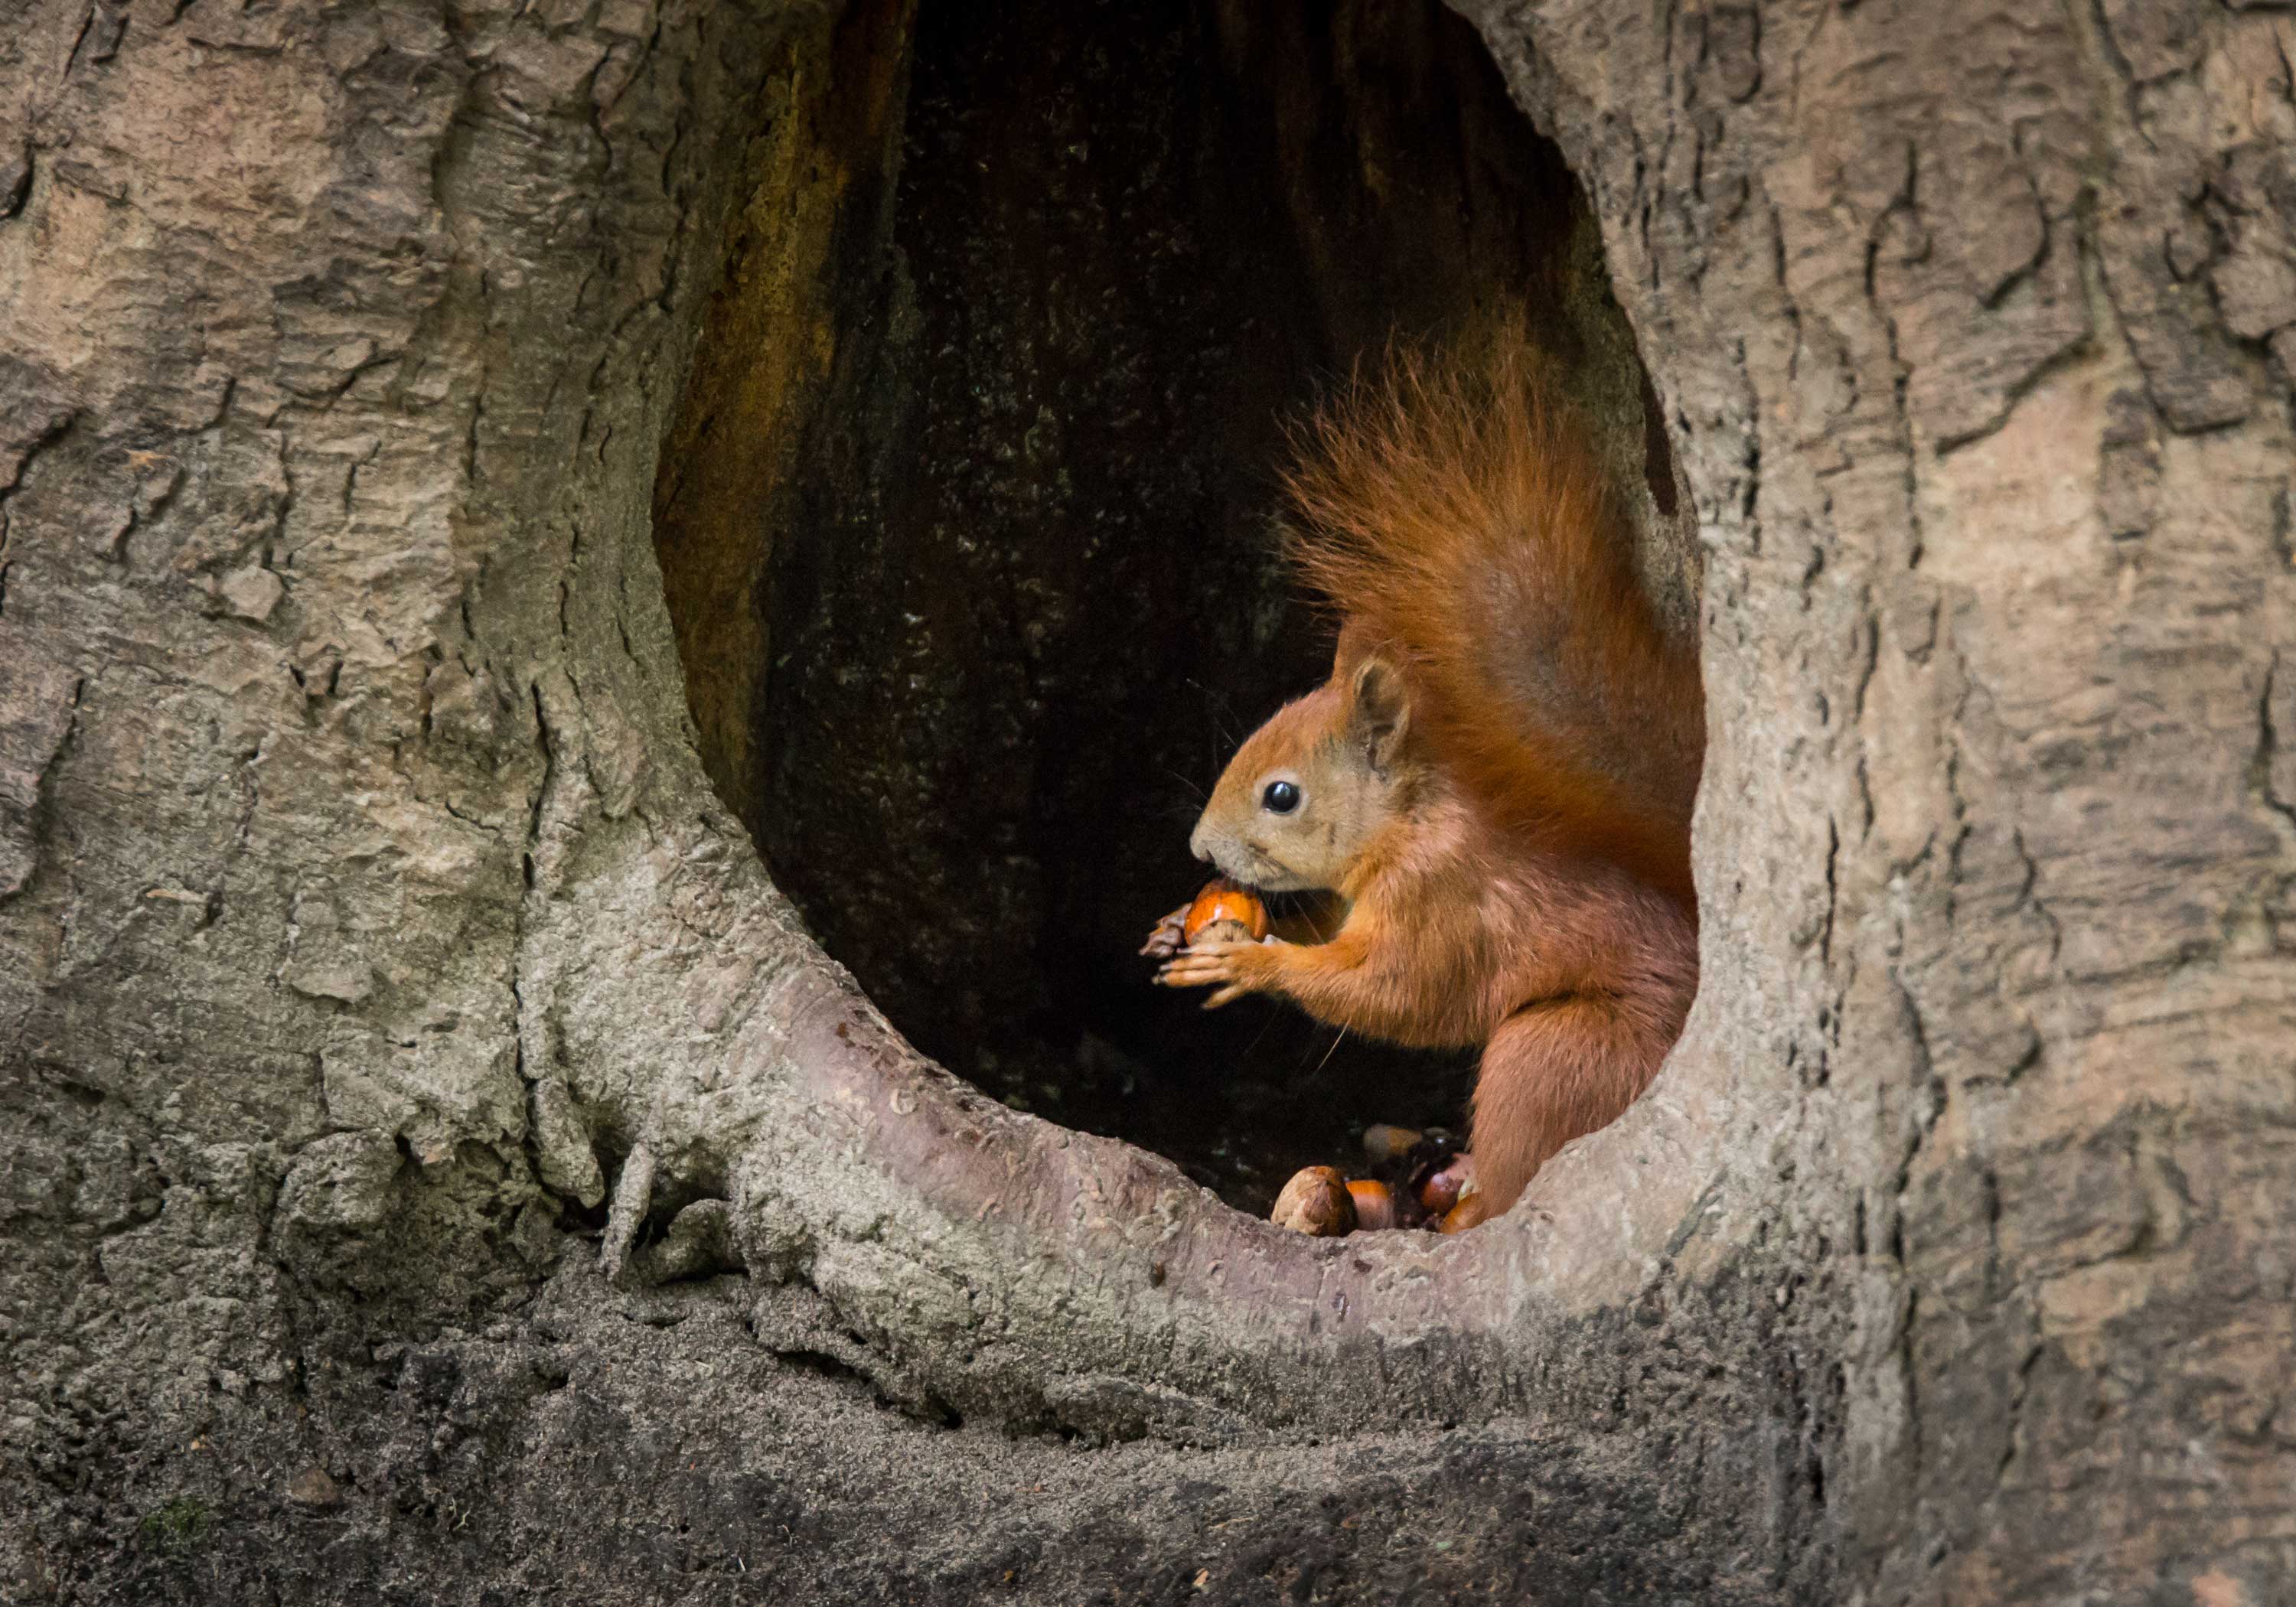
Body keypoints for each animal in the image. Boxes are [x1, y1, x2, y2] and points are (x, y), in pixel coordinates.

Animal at [1149, 323, 1703, 1226]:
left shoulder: (1443, 899)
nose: (1199, 850)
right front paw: (1174, 925)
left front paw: (1248, 965)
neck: (1406, 822)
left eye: (1281, 796)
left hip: (1554, 1054)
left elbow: (1390, 993)